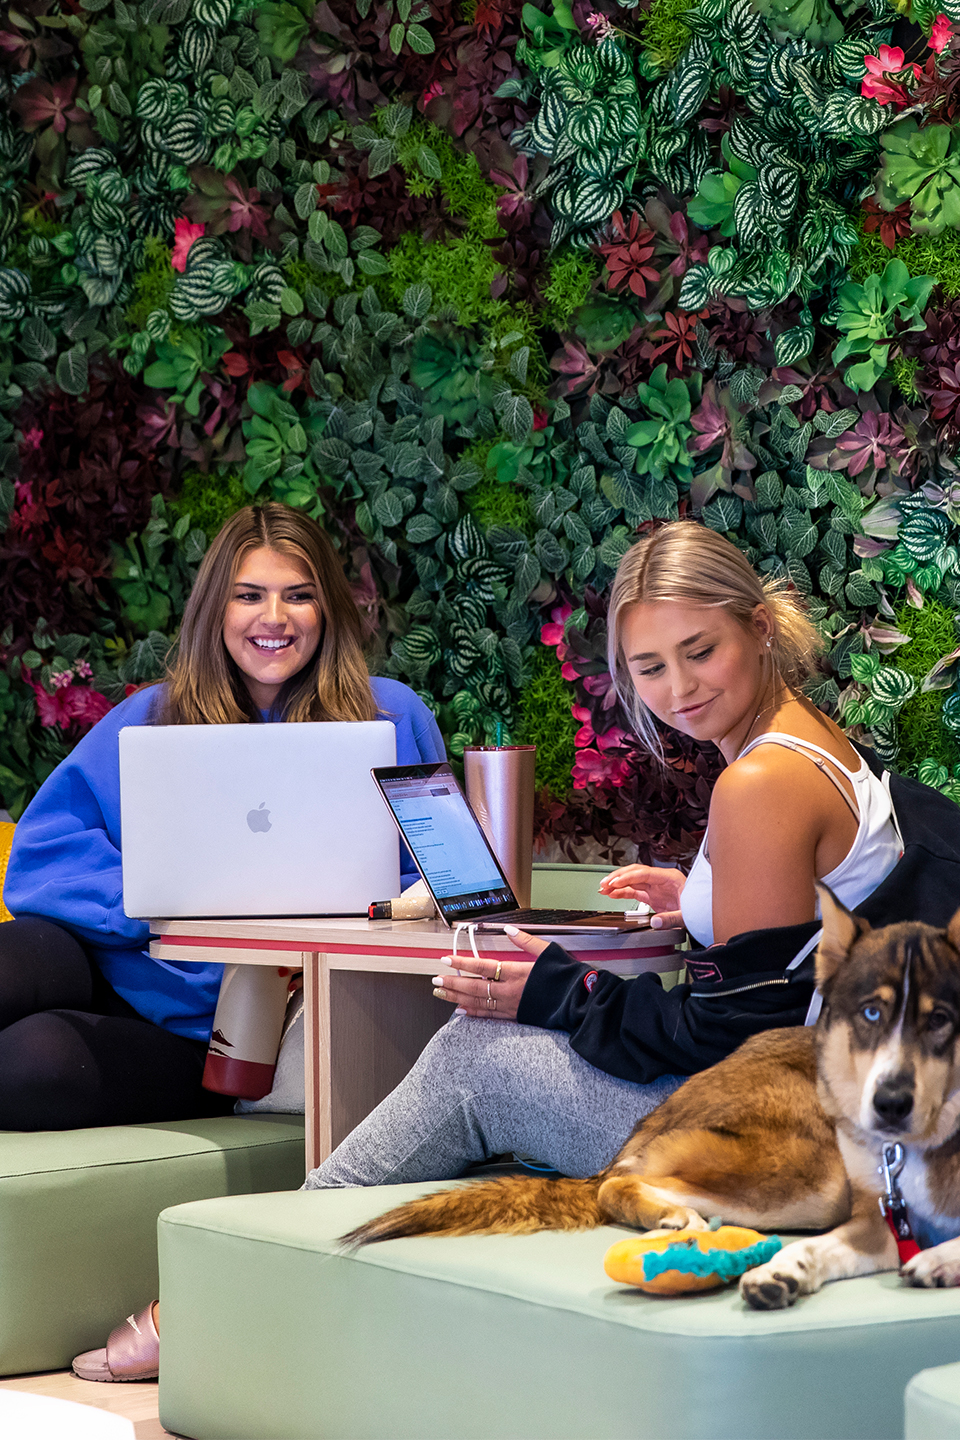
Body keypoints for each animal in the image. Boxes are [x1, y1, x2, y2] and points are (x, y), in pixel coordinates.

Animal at [345, 881, 960, 1313]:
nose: (889, 1104)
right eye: (871, 1014)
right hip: (810, 1176)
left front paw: (934, 1261)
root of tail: (648, 1124)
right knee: (619, 1186)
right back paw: (672, 1218)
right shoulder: (875, 1217)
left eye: (940, 1020)